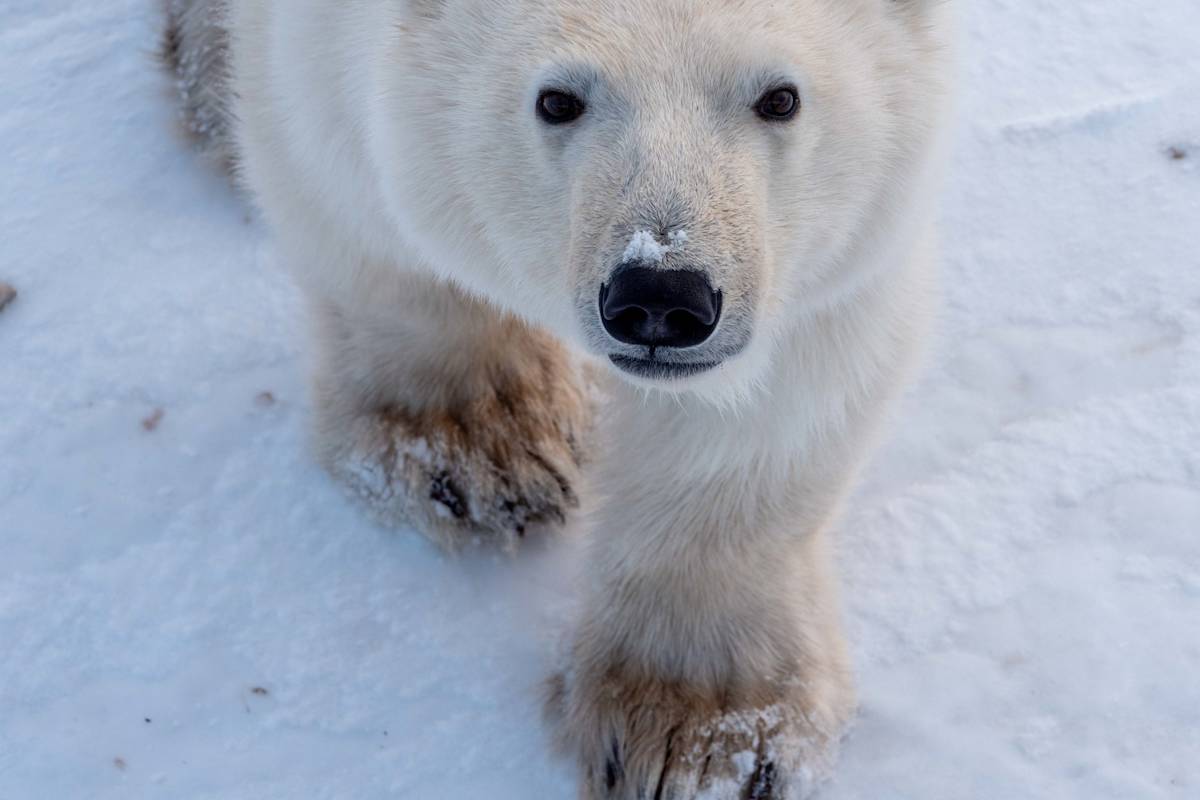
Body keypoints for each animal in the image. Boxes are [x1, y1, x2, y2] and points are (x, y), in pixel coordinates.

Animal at [163, 0, 954, 796]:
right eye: (558, 101)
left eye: (780, 98)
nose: (661, 296)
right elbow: (346, 189)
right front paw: (480, 447)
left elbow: (777, 390)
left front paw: (698, 729)